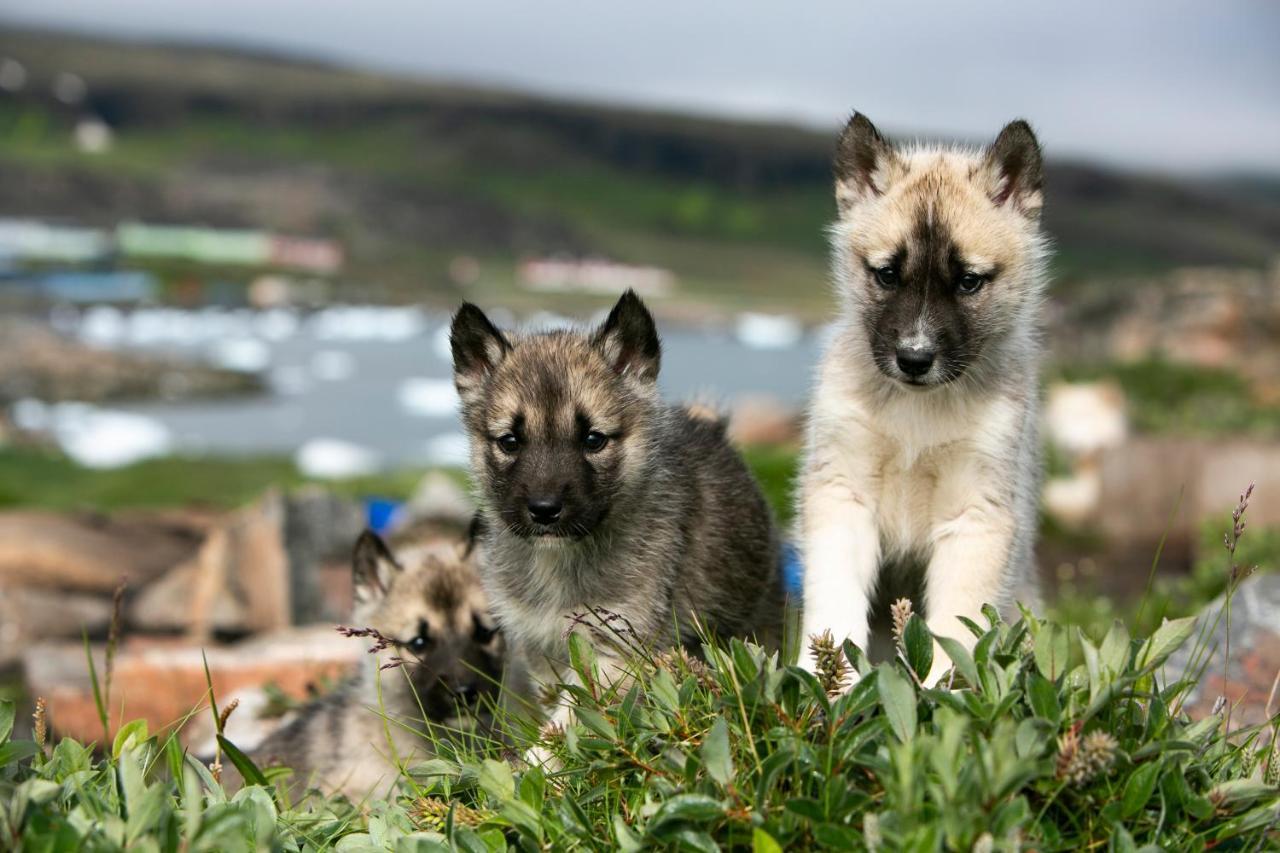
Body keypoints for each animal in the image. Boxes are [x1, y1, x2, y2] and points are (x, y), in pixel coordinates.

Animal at [450, 286, 788, 742]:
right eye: (510, 442)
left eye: (593, 439)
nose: (544, 511)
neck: (560, 561)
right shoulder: (542, 646)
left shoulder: (620, 644)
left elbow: (574, 717)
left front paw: (540, 758)